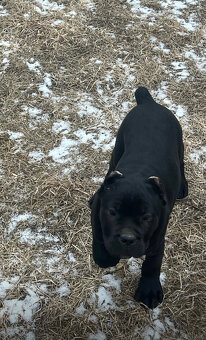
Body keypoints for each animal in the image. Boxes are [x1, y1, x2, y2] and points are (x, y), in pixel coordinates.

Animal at [89, 86, 187, 310]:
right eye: (112, 212)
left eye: (146, 217)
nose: (127, 239)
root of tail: (149, 103)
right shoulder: (98, 211)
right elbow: (98, 233)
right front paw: (105, 258)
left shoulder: (158, 234)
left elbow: (152, 262)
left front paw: (149, 290)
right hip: (118, 145)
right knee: (111, 165)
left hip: (179, 143)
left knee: (182, 163)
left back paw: (183, 187)